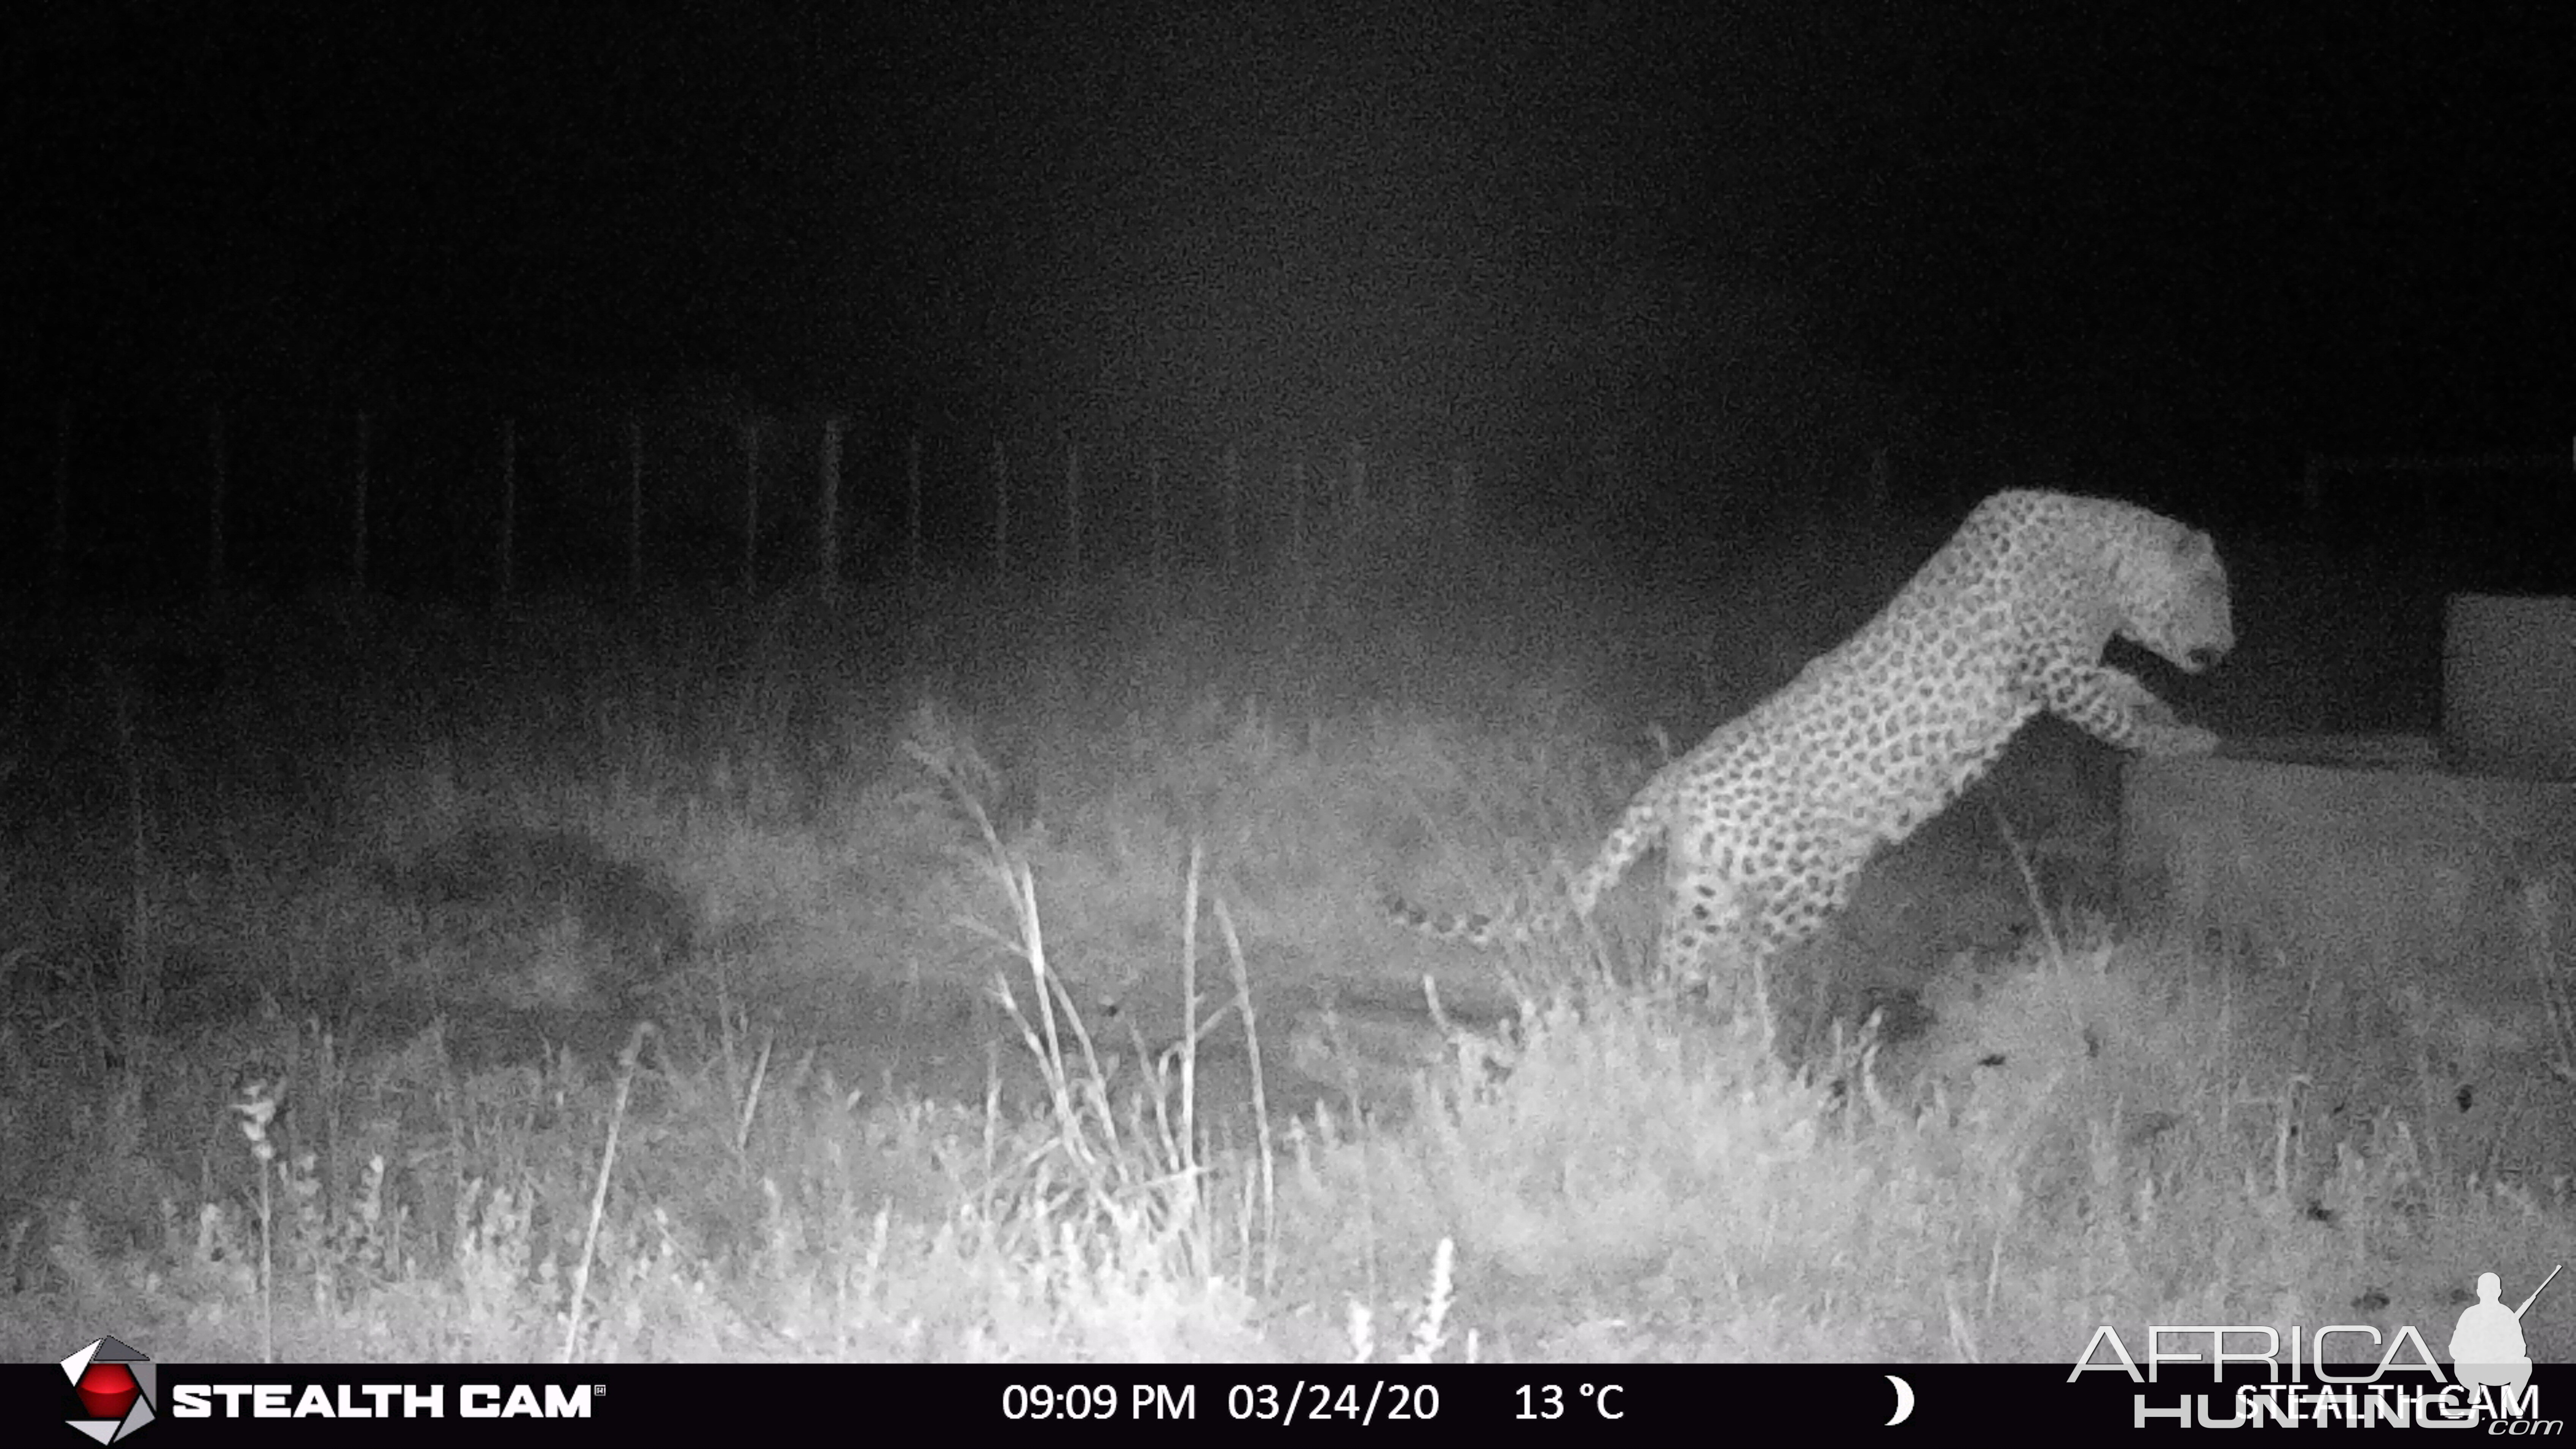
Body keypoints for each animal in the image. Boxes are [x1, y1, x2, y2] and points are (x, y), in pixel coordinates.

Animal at [1391, 487, 2236, 1016]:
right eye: (2217, 592)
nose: (2229, 647)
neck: (2102, 563)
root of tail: (1673, 776)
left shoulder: (2073, 668)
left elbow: (2126, 687)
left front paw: (2167, 708)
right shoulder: (2055, 671)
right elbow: (2118, 717)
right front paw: (2188, 736)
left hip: (1703, 885)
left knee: (1677, 966)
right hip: (1811, 882)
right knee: (1732, 958)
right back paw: (1739, 1023)